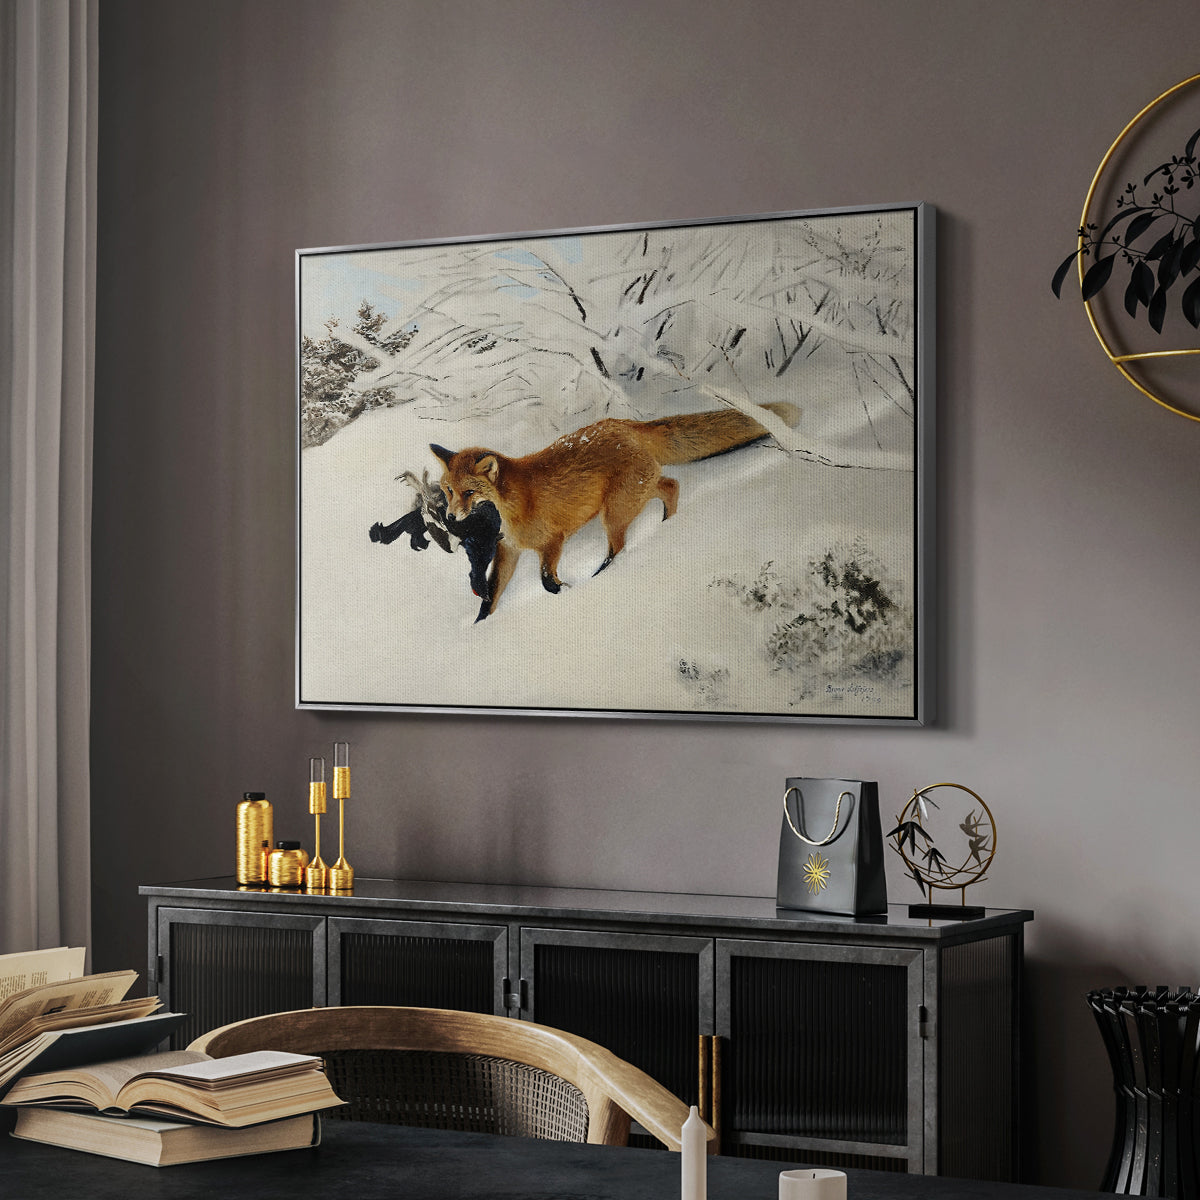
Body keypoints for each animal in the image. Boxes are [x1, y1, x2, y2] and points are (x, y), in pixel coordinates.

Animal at [431, 400, 799, 620]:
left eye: (469, 492)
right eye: (449, 491)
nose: (449, 517)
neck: (512, 505)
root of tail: (627, 424)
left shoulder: (553, 541)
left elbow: (547, 580)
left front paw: (566, 591)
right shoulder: (509, 549)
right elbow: (491, 596)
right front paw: (479, 627)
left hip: (615, 512)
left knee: (620, 545)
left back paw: (605, 573)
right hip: (634, 495)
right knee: (671, 485)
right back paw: (667, 524)